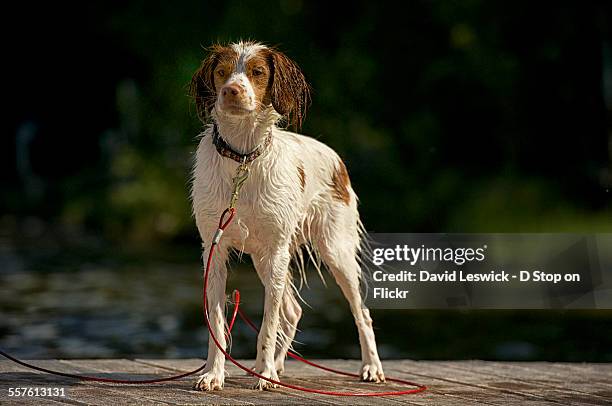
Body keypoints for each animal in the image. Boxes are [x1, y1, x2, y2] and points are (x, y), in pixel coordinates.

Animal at [189, 40, 384, 390]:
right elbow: (217, 323)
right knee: (292, 311)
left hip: (334, 251)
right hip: (263, 258)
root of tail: (337, 159)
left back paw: (371, 367)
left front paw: (264, 373)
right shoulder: (214, 249)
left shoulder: (277, 250)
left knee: (360, 312)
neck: (242, 159)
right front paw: (214, 374)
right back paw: (276, 366)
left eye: (258, 72)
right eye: (221, 72)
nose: (231, 91)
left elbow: (268, 323)